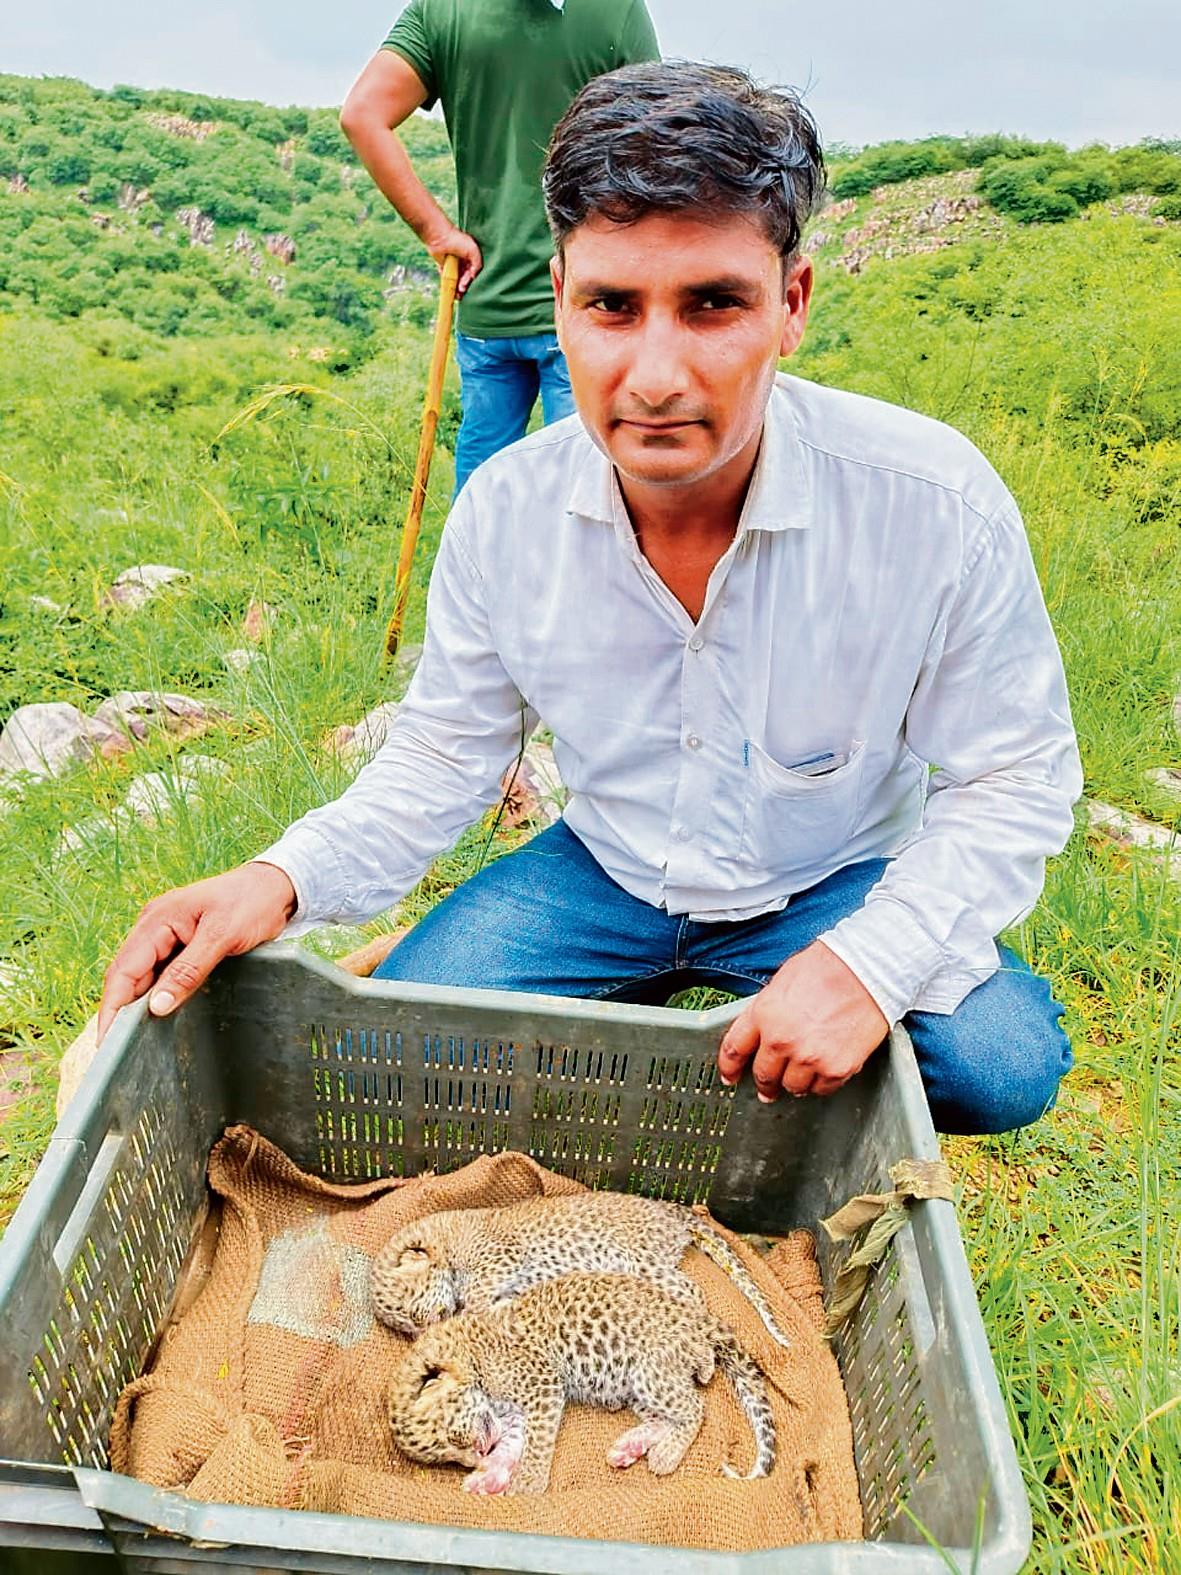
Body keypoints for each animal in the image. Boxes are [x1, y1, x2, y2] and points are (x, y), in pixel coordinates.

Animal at [387, 1271, 776, 1494]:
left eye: (455, 1437)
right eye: (450, 1458)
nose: (477, 1456)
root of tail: (697, 1318)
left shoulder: (543, 1388)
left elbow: (538, 1444)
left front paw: (528, 1484)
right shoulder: (515, 1416)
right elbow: (514, 1444)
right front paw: (490, 1476)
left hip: (651, 1370)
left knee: (696, 1407)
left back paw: (666, 1455)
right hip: (637, 1384)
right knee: (665, 1416)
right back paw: (631, 1447)